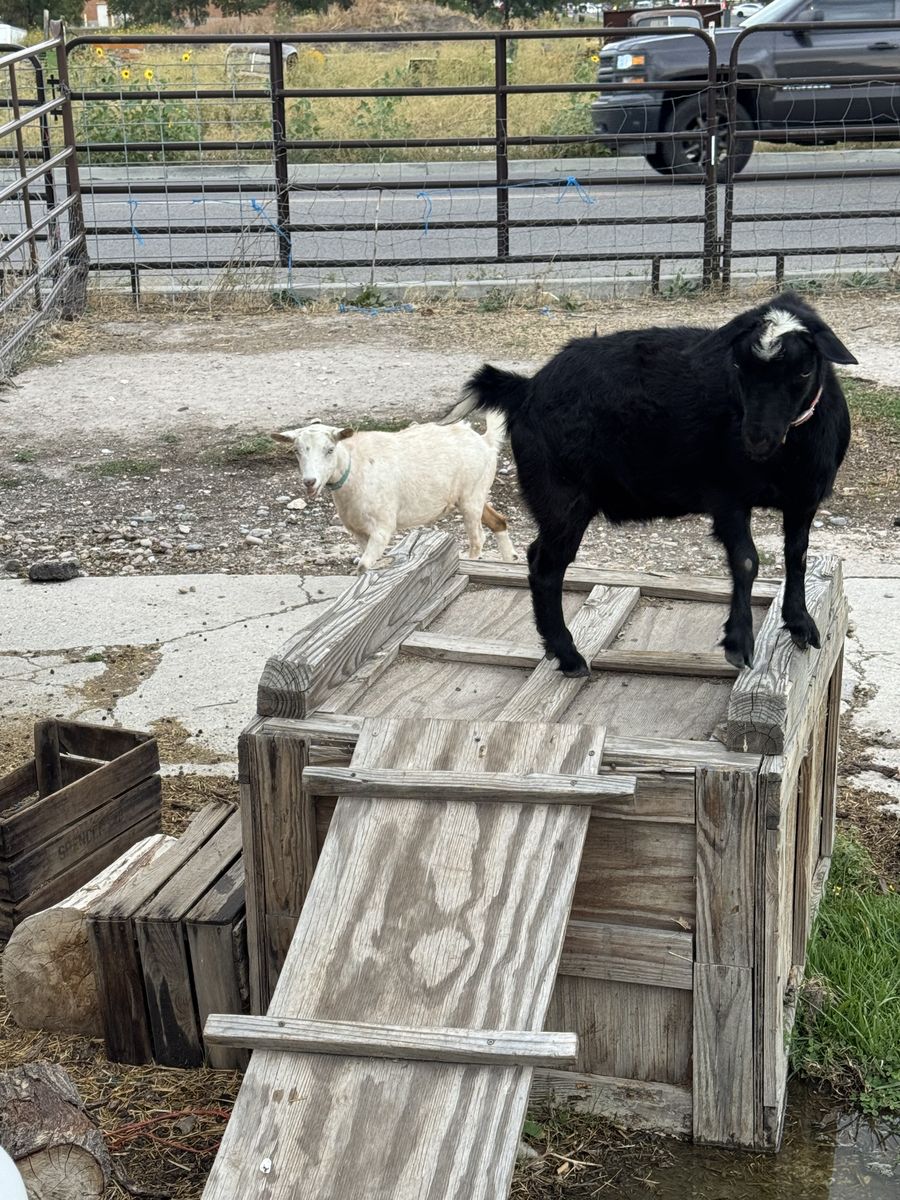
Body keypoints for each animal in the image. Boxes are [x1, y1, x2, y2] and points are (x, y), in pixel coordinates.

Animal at [273, 415, 517, 571]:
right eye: (297, 451)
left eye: (330, 450)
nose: (310, 482)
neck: (355, 467)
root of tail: (486, 442)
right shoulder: (358, 531)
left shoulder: (382, 527)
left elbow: (363, 566)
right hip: (471, 495)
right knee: (498, 521)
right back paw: (510, 561)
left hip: (471, 497)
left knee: (477, 539)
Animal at [443, 292, 856, 676]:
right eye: (738, 364)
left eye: (803, 371)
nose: (757, 440)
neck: (782, 457)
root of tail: (525, 389)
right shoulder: (727, 496)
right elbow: (746, 560)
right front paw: (738, 642)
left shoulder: (804, 499)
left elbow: (796, 555)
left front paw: (800, 624)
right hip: (561, 494)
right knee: (545, 566)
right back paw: (568, 654)